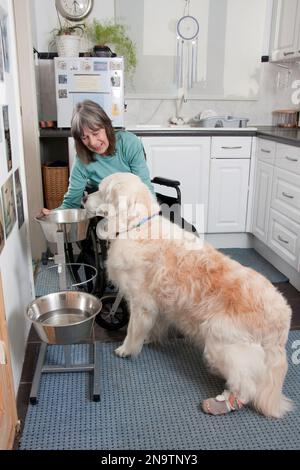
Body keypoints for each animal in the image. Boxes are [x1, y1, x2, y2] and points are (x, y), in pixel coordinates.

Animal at [86, 173, 292, 418]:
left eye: (101, 190)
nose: (83, 198)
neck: (137, 226)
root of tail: (283, 316)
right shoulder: (157, 304)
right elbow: (152, 326)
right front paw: (149, 337)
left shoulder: (140, 302)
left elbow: (133, 330)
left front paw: (126, 350)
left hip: (223, 344)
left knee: (247, 384)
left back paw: (224, 402)